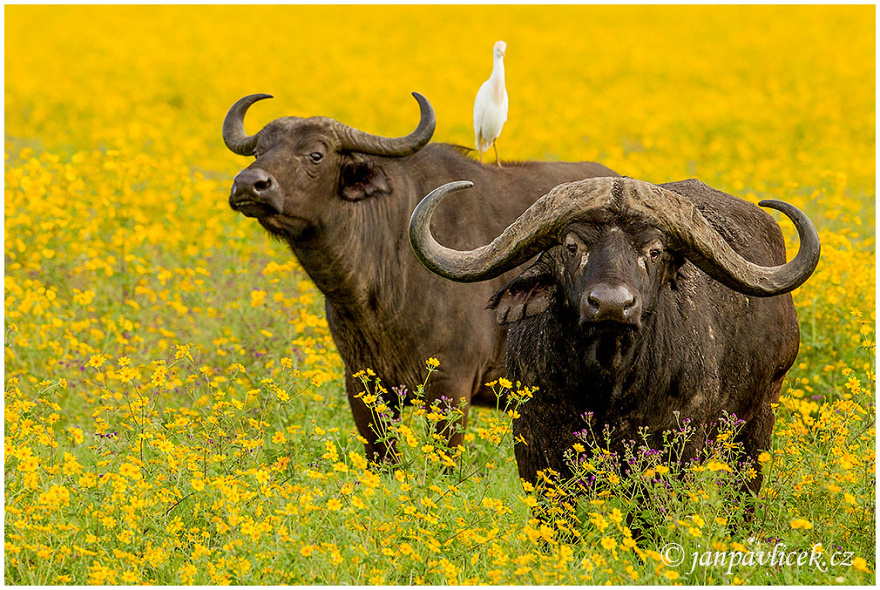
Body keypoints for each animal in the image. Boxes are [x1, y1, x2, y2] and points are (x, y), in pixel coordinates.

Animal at [410, 177, 820, 494]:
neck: (605, 384)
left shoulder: (674, 446)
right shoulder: (533, 442)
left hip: (758, 422)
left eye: (654, 250)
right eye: (572, 245)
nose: (611, 305)